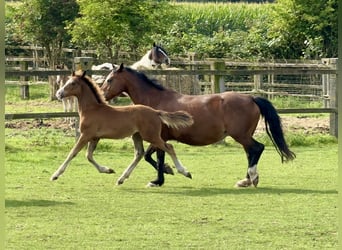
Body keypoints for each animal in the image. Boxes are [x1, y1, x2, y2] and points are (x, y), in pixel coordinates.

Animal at [51, 70, 194, 186]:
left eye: (73, 83)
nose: (58, 93)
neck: (92, 109)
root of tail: (155, 112)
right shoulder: (95, 137)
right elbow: (89, 156)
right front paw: (108, 170)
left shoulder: (85, 135)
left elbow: (73, 153)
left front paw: (55, 175)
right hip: (137, 135)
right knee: (139, 153)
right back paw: (121, 178)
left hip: (151, 136)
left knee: (169, 147)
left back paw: (185, 172)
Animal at [100, 64, 296, 188]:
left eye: (109, 80)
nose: (102, 96)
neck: (155, 100)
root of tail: (251, 98)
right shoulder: (160, 138)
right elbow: (155, 157)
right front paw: (163, 176)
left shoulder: (158, 137)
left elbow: (153, 156)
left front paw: (163, 177)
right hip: (244, 136)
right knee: (251, 153)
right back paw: (245, 180)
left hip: (241, 135)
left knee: (257, 149)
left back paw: (251, 178)